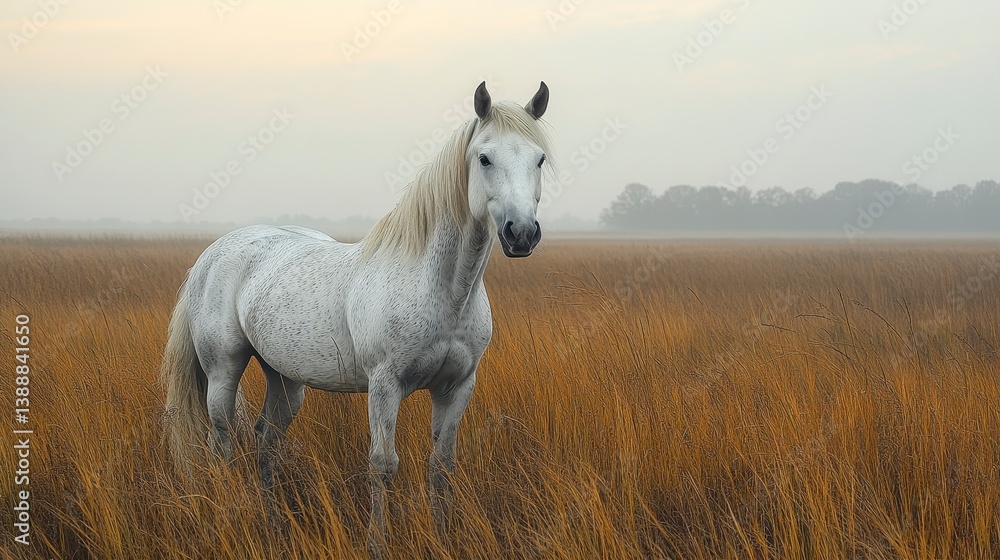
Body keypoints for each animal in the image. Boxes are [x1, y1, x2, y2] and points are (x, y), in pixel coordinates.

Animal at [160, 81, 552, 555]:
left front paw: (442, 538)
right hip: (223, 371)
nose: (521, 234)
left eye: (539, 158)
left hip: (286, 380)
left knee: (265, 441)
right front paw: (377, 545)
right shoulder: (384, 386)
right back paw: (230, 518)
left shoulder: (457, 386)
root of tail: (213, 253)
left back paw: (273, 524)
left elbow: (441, 465)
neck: (443, 290)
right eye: (484, 158)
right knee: (222, 443)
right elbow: (383, 465)